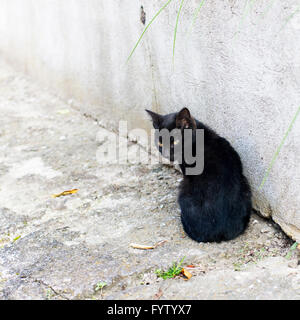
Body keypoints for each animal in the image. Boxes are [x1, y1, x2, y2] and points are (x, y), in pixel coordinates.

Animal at [146, 107, 252, 242]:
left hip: (184, 187)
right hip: (245, 185)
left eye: (175, 142)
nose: (165, 153)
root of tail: (219, 234)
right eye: (160, 144)